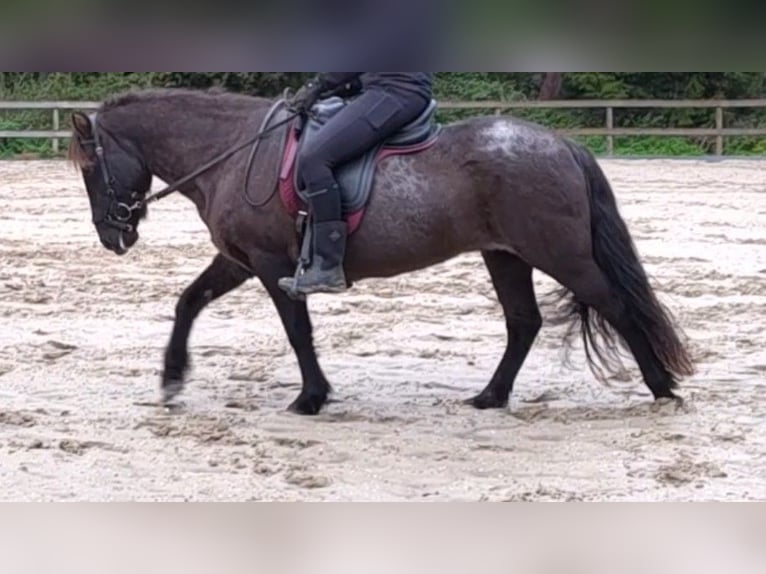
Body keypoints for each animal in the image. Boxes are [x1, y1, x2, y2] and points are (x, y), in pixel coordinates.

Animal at [67, 88, 695, 416]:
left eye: (91, 165)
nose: (112, 235)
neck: (233, 151)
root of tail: (561, 143)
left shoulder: (272, 266)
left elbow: (298, 330)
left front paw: (311, 397)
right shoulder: (242, 261)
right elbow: (188, 302)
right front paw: (172, 380)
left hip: (560, 255)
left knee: (616, 305)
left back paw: (661, 387)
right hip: (505, 254)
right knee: (524, 322)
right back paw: (490, 396)